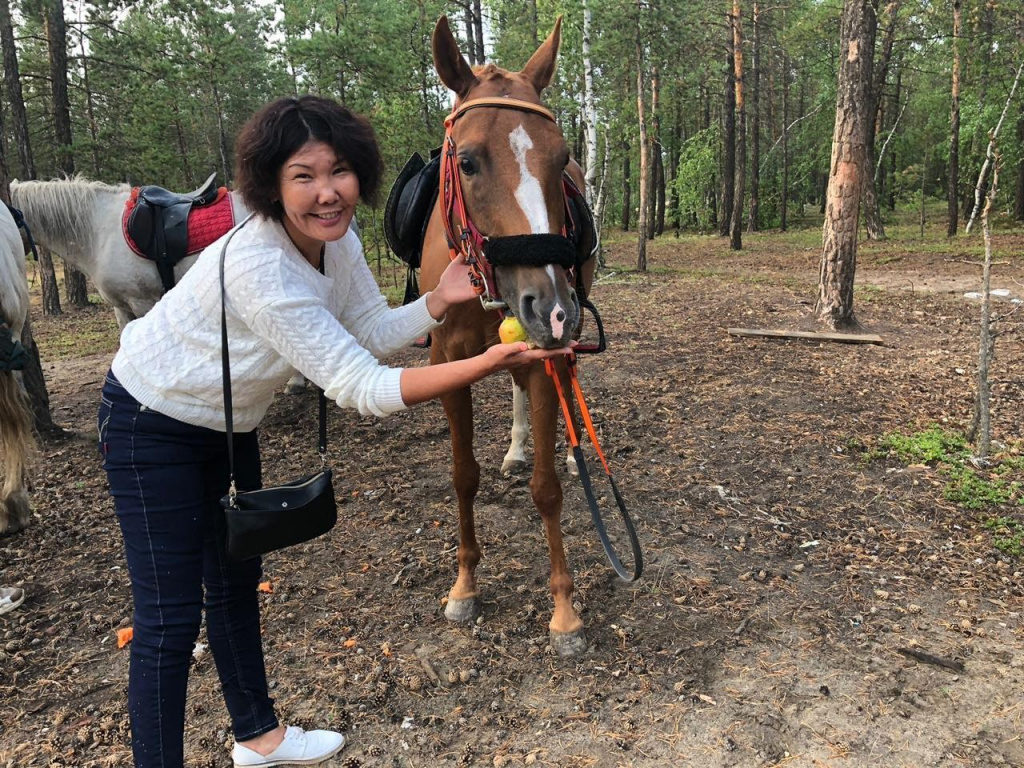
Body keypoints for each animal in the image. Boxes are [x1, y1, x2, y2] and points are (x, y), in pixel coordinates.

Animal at [417, 15, 598, 659]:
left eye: (562, 158)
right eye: (468, 162)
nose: (554, 308)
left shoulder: (547, 353)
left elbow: (547, 490)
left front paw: (565, 611)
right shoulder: (447, 368)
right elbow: (462, 476)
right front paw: (465, 584)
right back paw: (517, 447)